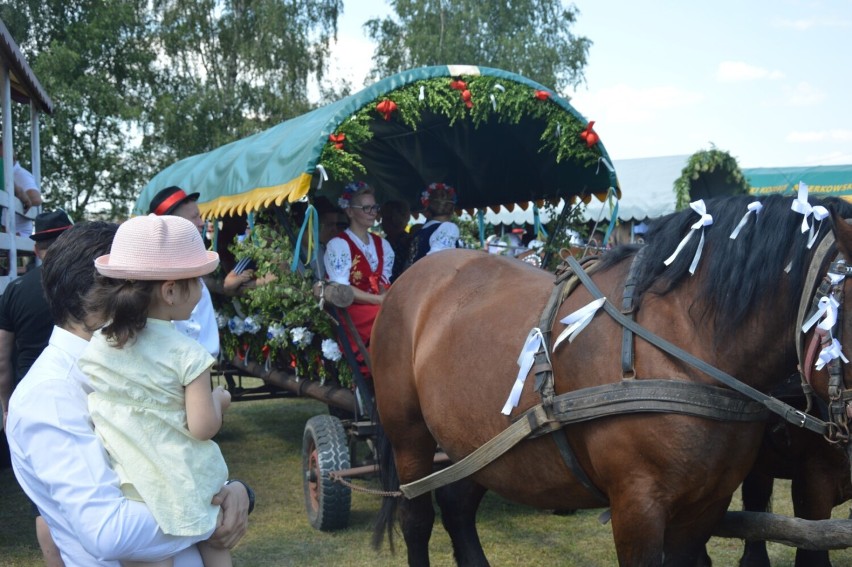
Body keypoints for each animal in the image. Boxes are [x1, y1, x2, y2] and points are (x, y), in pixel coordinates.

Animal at [370, 195, 852, 567]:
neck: (687, 344)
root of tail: (415, 276)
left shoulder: (705, 507)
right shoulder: (638, 506)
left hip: (477, 444)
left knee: (456, 507)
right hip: (409, 434)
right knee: (417, 518)